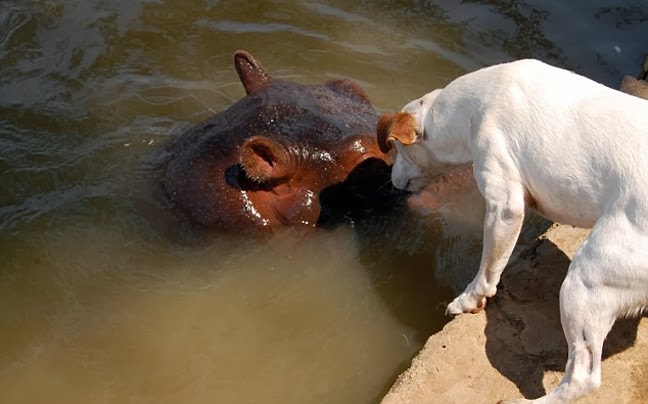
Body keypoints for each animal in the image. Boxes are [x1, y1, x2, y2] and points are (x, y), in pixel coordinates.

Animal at [378, 58, 648, 402]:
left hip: (586, 281)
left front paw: (468, 300)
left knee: (583, 378)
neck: (472, 106)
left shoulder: (505, 205)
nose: (391, 179)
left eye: (397, 151)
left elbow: (487, 270)